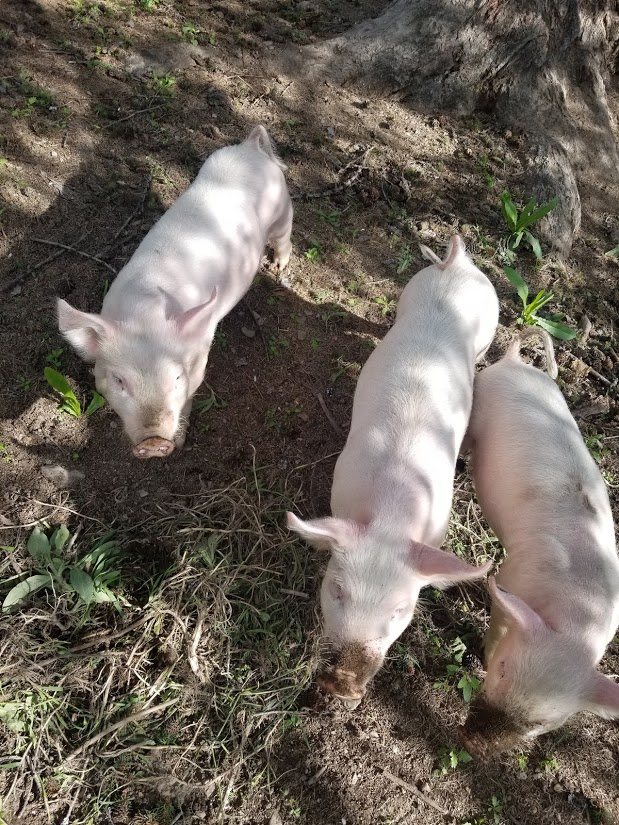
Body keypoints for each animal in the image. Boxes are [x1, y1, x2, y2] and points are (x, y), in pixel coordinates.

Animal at [56, 124, 294, 458]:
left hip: (283, 209)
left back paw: (279, 266)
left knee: (285, 237)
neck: (144, 310)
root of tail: (251, 147)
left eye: (177, 377)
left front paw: (180, 442)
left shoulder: (202, 351)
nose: (154, 442)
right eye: (120, 380)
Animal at [286, 235, 498, 704]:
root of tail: (456, 263)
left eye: (401, 610)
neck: (392, 511)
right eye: (337, 590)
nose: (343, 685)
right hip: (410, 291)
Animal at [458, 326, 619, 756]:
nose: (471, 743)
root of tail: (515, 360)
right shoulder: (512, 578)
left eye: (541, 724)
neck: (577, 617)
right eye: (501, 671)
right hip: (480, 400)